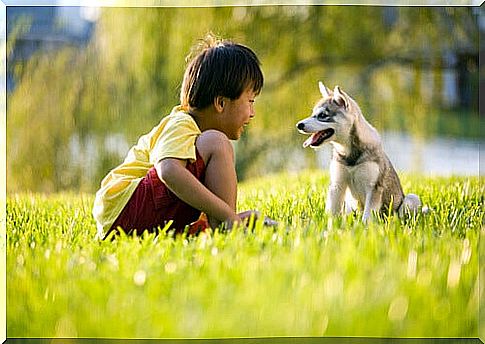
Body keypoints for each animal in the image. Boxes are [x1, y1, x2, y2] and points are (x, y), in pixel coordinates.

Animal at [294, 82, 420, 222]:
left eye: (322, 115)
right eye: (313, 114)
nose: (299, 125)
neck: (349, 153)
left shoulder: (373, 188)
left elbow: (367, 216)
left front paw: (364, 226)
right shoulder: (337, 184)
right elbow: (332, 212)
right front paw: (329, 225)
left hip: (411, 199)